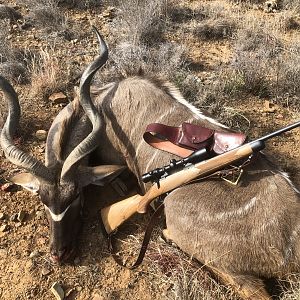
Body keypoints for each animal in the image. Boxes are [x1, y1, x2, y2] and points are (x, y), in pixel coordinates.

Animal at [0, 27, 300, 298]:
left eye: (76, 197)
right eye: (42, 199)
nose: (59, 254)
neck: (102, 103)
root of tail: (291, 249)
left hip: (179, 212)